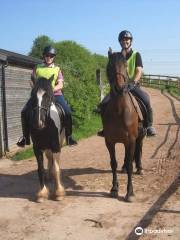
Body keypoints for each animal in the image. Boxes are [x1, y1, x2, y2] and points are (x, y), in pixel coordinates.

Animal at [100, 50, 146, 202]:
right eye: (110, 65)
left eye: (125, 65)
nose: (119, 88)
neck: (119, 110)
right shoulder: (109, 141)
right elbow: (113, 163)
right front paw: (114, 189)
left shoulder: (131, 140)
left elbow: (131, 164)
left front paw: (129, 192)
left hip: (138, 138)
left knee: (138, 151)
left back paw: (140, 168)